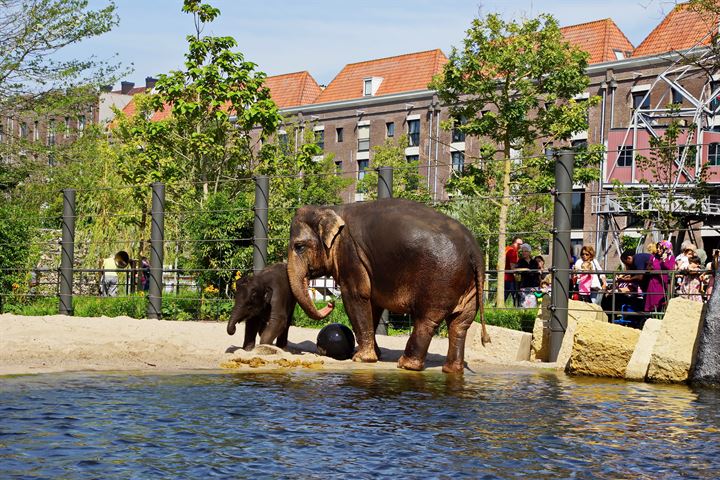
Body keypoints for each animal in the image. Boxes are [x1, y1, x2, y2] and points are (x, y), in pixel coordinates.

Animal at [288, 197, 490, 374]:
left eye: (299, 246)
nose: (330, 303)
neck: (331, 209)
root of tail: (474, 250)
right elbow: (373, 304)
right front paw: (373, 355)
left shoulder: (351, 255)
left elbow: (357, 296)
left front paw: (361, 358)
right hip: (471, 285)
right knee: (460, 323)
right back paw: (452, 370)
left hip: (440, 280)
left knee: (427, 320)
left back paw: (406, 365)